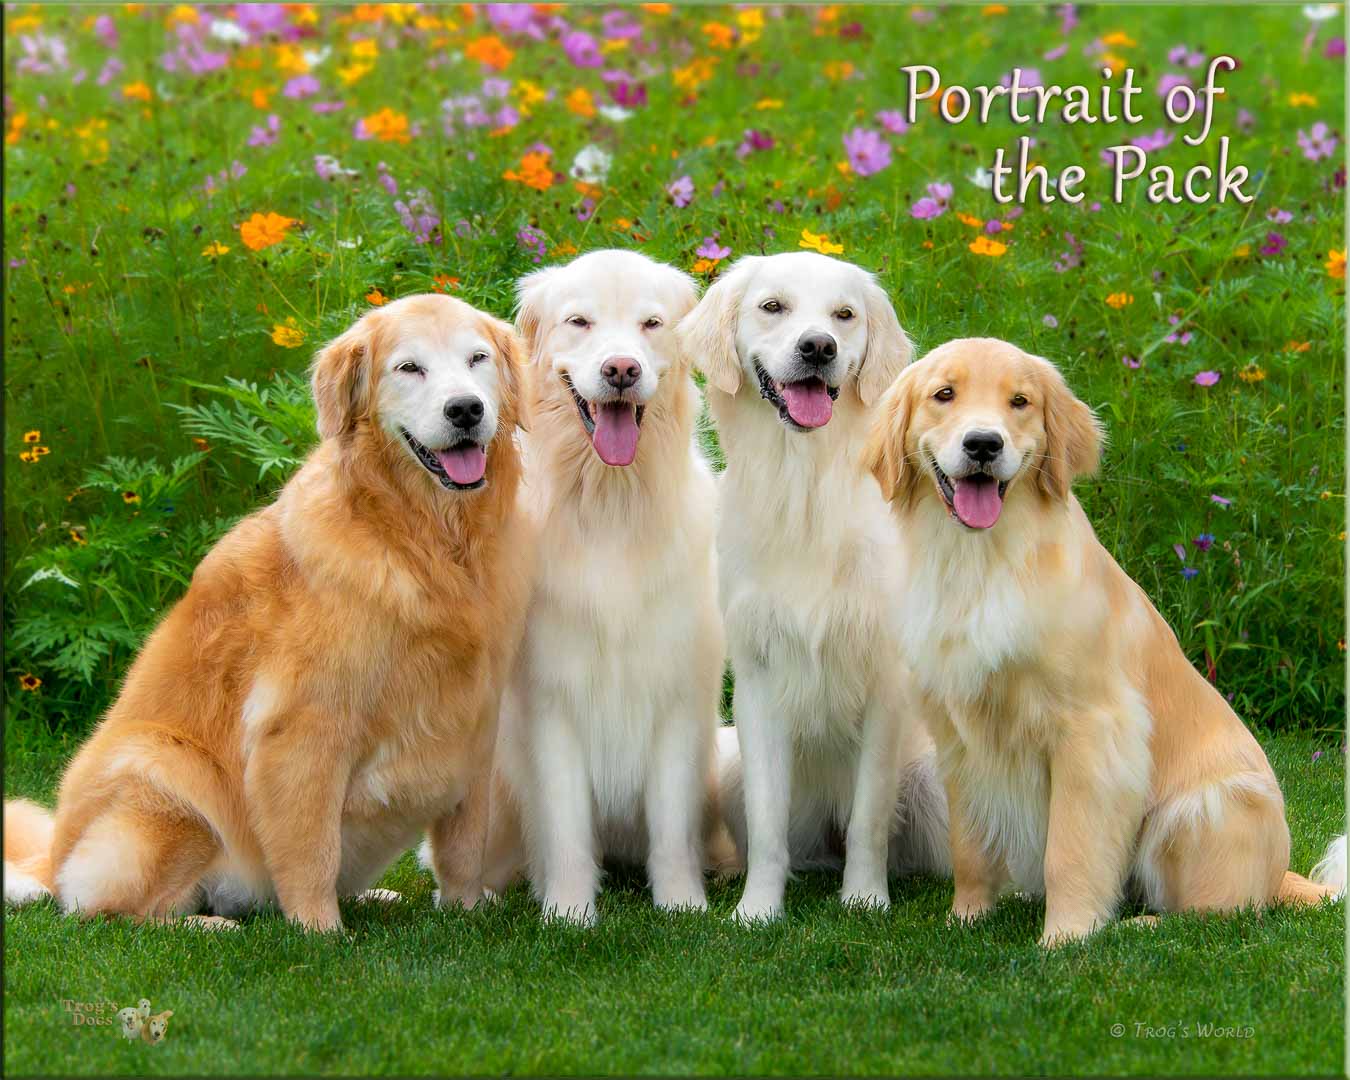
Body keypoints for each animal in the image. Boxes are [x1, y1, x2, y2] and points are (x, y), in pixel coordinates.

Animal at [3, 292, 531, 928]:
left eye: (477, 359)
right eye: (410, 368)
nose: (466, 410)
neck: (423, 541)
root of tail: (49, 863)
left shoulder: (473, 722)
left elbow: (463, 846)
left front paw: (466, 911)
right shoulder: (301, 726)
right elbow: (310, 850)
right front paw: (321, 931)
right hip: (161, 767)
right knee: (108, 909)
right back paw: (209, 924)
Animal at [448, 248, 729, 923]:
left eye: (651, 324)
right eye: (579, 322)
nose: (621, 369)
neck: (609, 504)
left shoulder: (676, 698)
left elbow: (671, 828)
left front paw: (682, 905)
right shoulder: (554, 700)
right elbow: (568, 826)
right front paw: (569, 912)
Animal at [675, 251, 950, 918]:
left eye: (844, 315)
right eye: (772, 307)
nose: (819, 346)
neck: (804, 486)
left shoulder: (885, 682)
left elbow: (869, 819)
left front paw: (865, 900)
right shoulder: (758, 677)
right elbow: (768, 824)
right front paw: (757, 910)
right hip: (729, 767)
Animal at [858, 337, 1344, 945]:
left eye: (1020, 401)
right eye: (943, 394)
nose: (984, 444)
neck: (981, 563)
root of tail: (1281, 875)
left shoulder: (1093, 731)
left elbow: (1070, 850)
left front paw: (1066, 936)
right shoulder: (960, 734)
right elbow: (969, 846)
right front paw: (966, 917)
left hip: (1204, 807)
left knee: (1219, 913)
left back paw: (1141, 923)